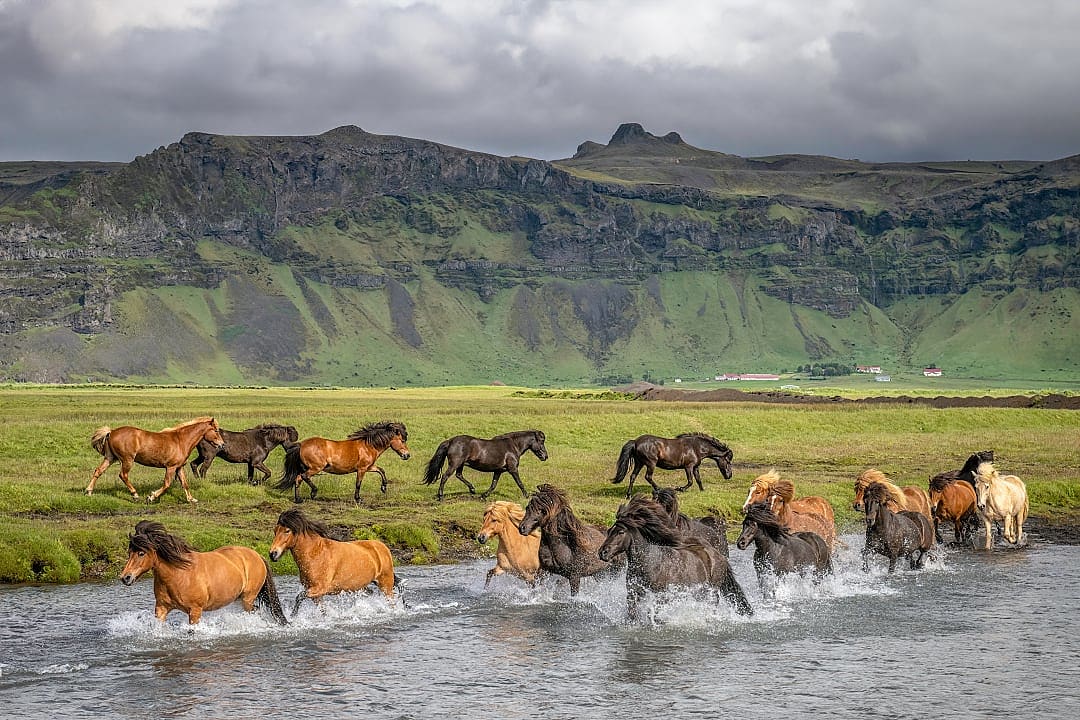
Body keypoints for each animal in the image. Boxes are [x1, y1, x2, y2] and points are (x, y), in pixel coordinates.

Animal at [87, 416, 225, 503]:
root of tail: (111, 431)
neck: (181, 440)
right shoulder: (170, 467)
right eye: (216, 430)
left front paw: (191, 499)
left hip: (110, 458)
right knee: (123, 475)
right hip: (127, 460)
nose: (222, 445)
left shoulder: (179, 467)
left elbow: (185, 484)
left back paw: (88, 491)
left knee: (98, 471)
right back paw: (135, 495)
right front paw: (151, 497)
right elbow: (166, 484)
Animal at [120, 520, 287, 625]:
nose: (125, 577)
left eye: (141, 553)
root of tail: (258, 556)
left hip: (248, 598)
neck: (178, 574)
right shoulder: (161, 608)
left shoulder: (195, 611)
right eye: (129, 553)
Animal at [268, 508, 399, 615]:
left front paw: (292, 616)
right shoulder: (316, 594)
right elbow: (322, 610)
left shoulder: (320, 589)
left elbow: (299, 597)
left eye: (287, 530)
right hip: (364, 586)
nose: (272, 554)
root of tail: (383, 547)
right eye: (275, 531)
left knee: (391, 603)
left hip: (385, 585)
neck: (316, 554)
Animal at [276, 421, 410, 504]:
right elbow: (358, 484)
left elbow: (381, 470)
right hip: (316, 468)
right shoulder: (362, 469)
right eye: (402, 440)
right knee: (303, 477)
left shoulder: (369, 467)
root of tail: (301, 445)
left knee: (298, 478)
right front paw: (358, 499)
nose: (407, 455)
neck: (368, 445)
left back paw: (298, 499)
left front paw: (383, 487)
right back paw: (312, 493)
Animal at [597, 495, 753, 620]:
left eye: (621, 532)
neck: (650, 563)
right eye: (609, 530)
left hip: (711, 593)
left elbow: (654, 614)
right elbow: (632, 613)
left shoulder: (663, 596)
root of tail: (719, 556)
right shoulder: (634, 594)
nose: (602, 552)